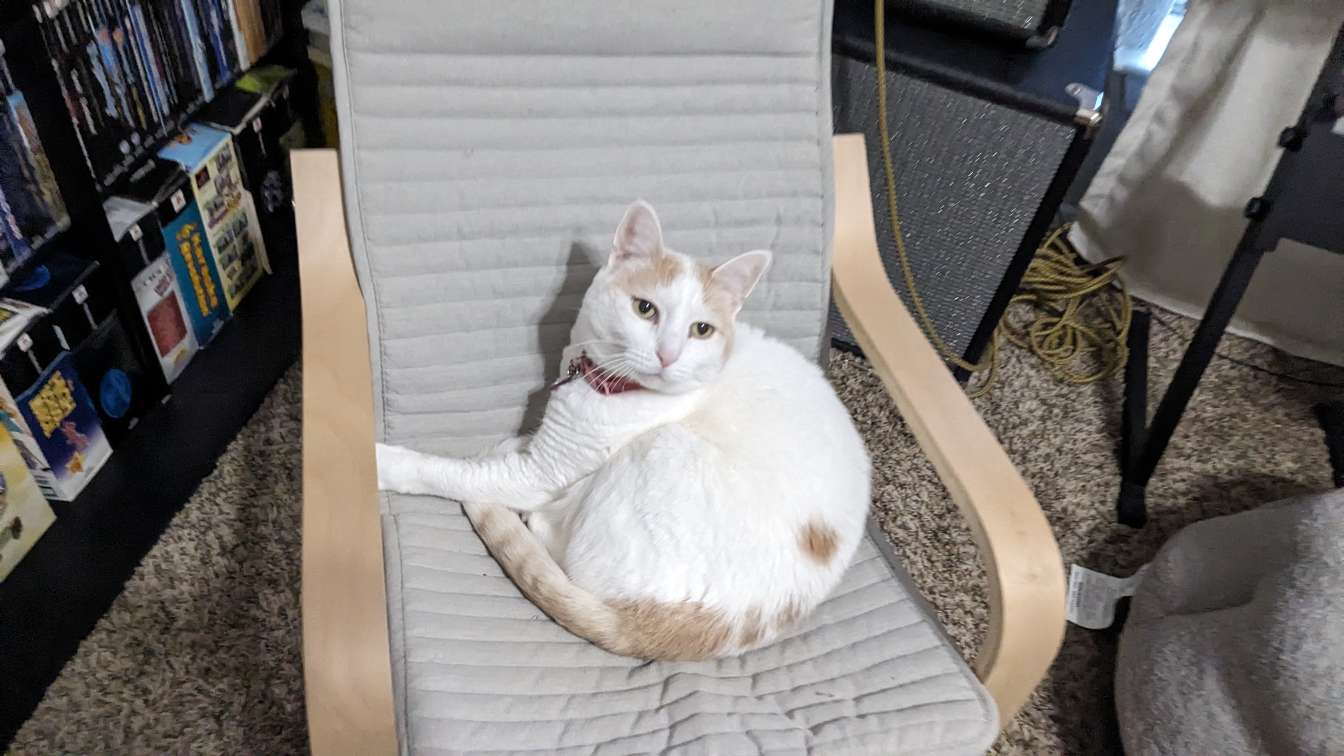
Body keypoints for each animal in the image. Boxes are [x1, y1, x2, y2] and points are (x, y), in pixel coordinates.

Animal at [376, 200, 872, 660]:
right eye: (644, 308)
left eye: (701, 330)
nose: (668, 355)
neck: (601, 382)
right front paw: (512, 440)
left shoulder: (540, 475)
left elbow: (450, 472)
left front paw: (387, 463)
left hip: (658, 451)